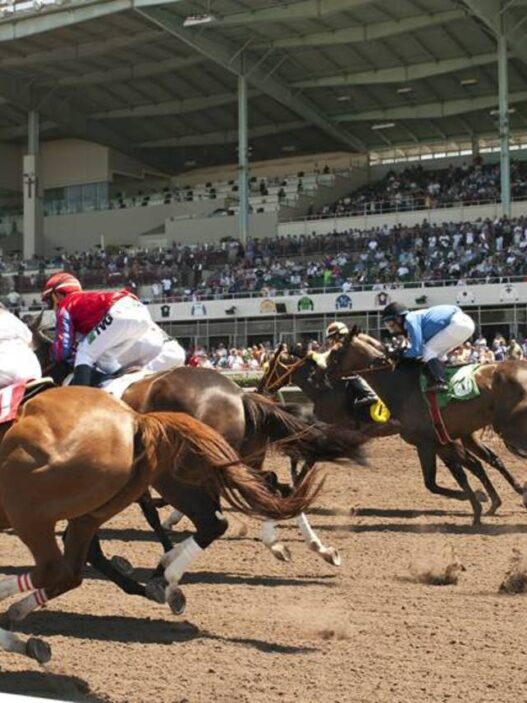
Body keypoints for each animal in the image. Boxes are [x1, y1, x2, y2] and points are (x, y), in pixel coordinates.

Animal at [260, 338, 527, 524]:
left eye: (269, 366)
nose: (261, 387)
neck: (327, 390)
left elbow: (310, 456)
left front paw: (294, 486)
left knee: (480, 462)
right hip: (463, 435)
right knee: (485, 461)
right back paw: (499, 498)